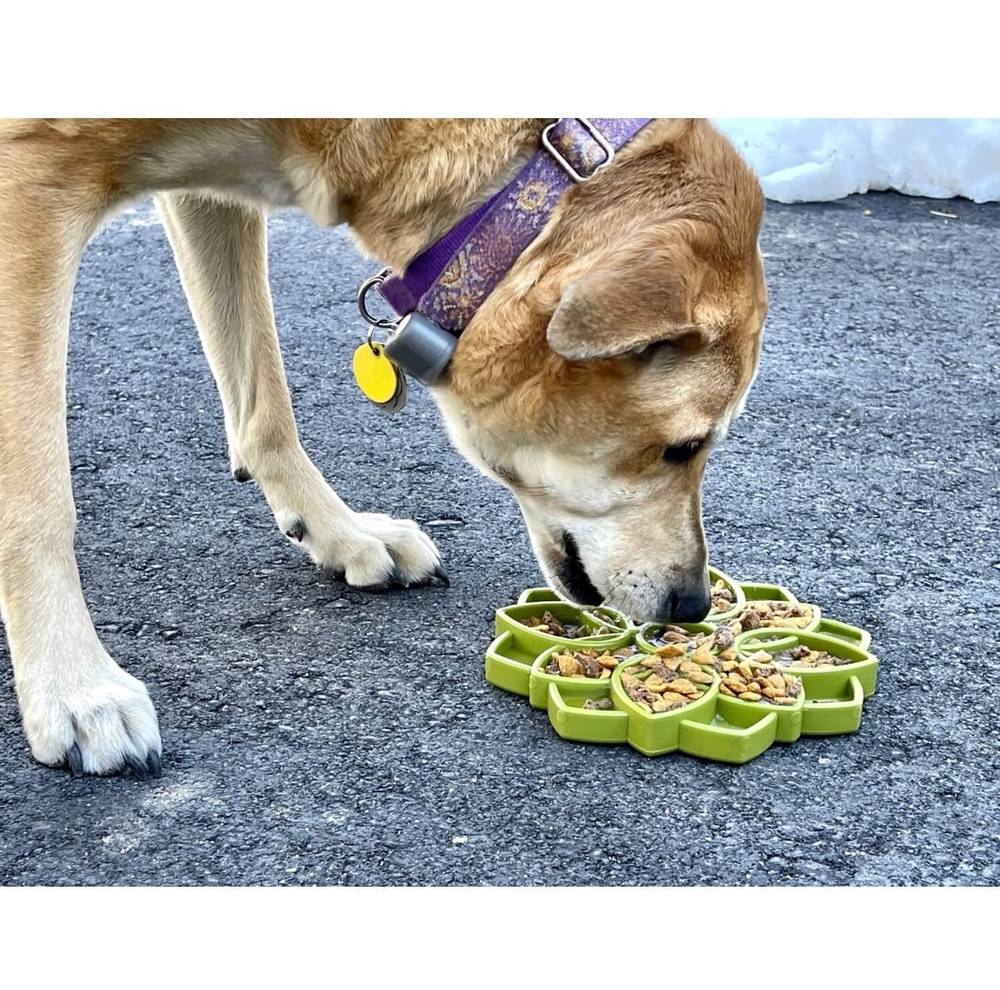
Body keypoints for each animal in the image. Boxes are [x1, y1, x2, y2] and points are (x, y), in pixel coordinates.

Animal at [0, 120, 764, 780]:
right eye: (684, 447)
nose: (694, 605)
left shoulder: (209, 194)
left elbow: (264, 403)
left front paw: (338, 531)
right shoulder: (32, 179)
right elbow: (36, 497)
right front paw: (74, 687)